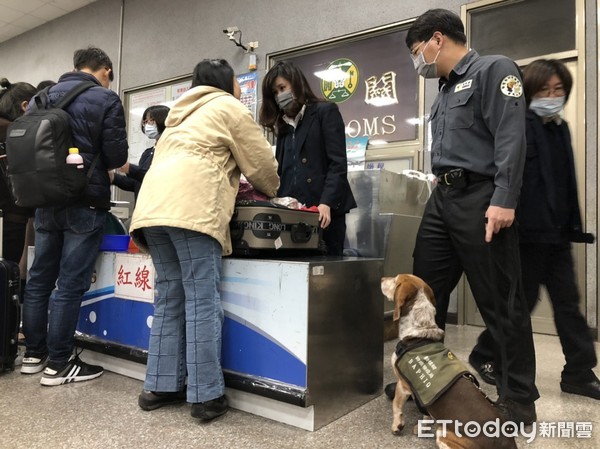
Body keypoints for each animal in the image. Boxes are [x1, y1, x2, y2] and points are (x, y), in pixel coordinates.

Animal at [380, 272, 516, 448]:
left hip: (444, 435)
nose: (381, 279)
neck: (420, 331)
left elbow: (396, 406)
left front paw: (397, 425)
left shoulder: (403, 385)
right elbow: (426, 415)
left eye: (395, 280)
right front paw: (422, 427)